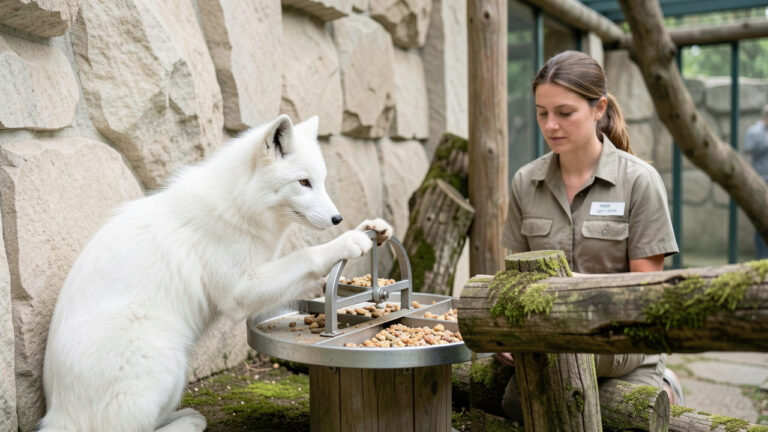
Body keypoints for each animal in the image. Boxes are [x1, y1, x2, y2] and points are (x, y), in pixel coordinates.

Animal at [39, 114, 393, 432]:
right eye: (303, 182)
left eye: (321, 181)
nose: (337, 219)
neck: (240, 202)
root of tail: (59, 415)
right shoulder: (239, 291)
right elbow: (305, 255)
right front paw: (347, 241)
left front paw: (373, 227)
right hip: (166, 349)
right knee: (129, 428)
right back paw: (190, 423)